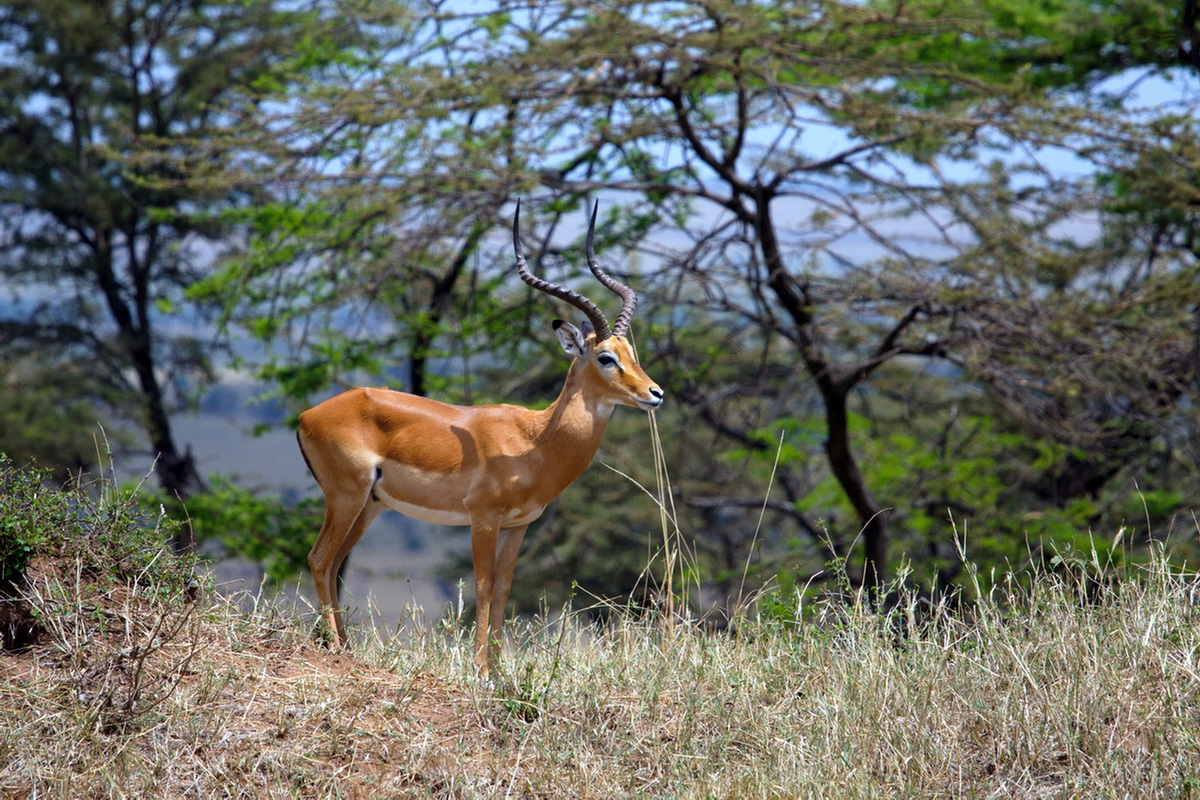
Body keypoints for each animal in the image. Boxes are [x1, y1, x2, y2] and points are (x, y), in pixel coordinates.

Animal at [296, 201, 663, 675]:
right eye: (605, 357)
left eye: (631, 354)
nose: (655, 393)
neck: (534, 441)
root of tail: (308, 414)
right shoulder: (483, 518)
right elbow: (484, 585)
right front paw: (481, 669)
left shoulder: (518, 525)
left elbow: (504, 586)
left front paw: (499, 668)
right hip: (346, 497)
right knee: (320, 558)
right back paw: (337, 650)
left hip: (369, 505)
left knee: (335, 563)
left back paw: (347, 647)